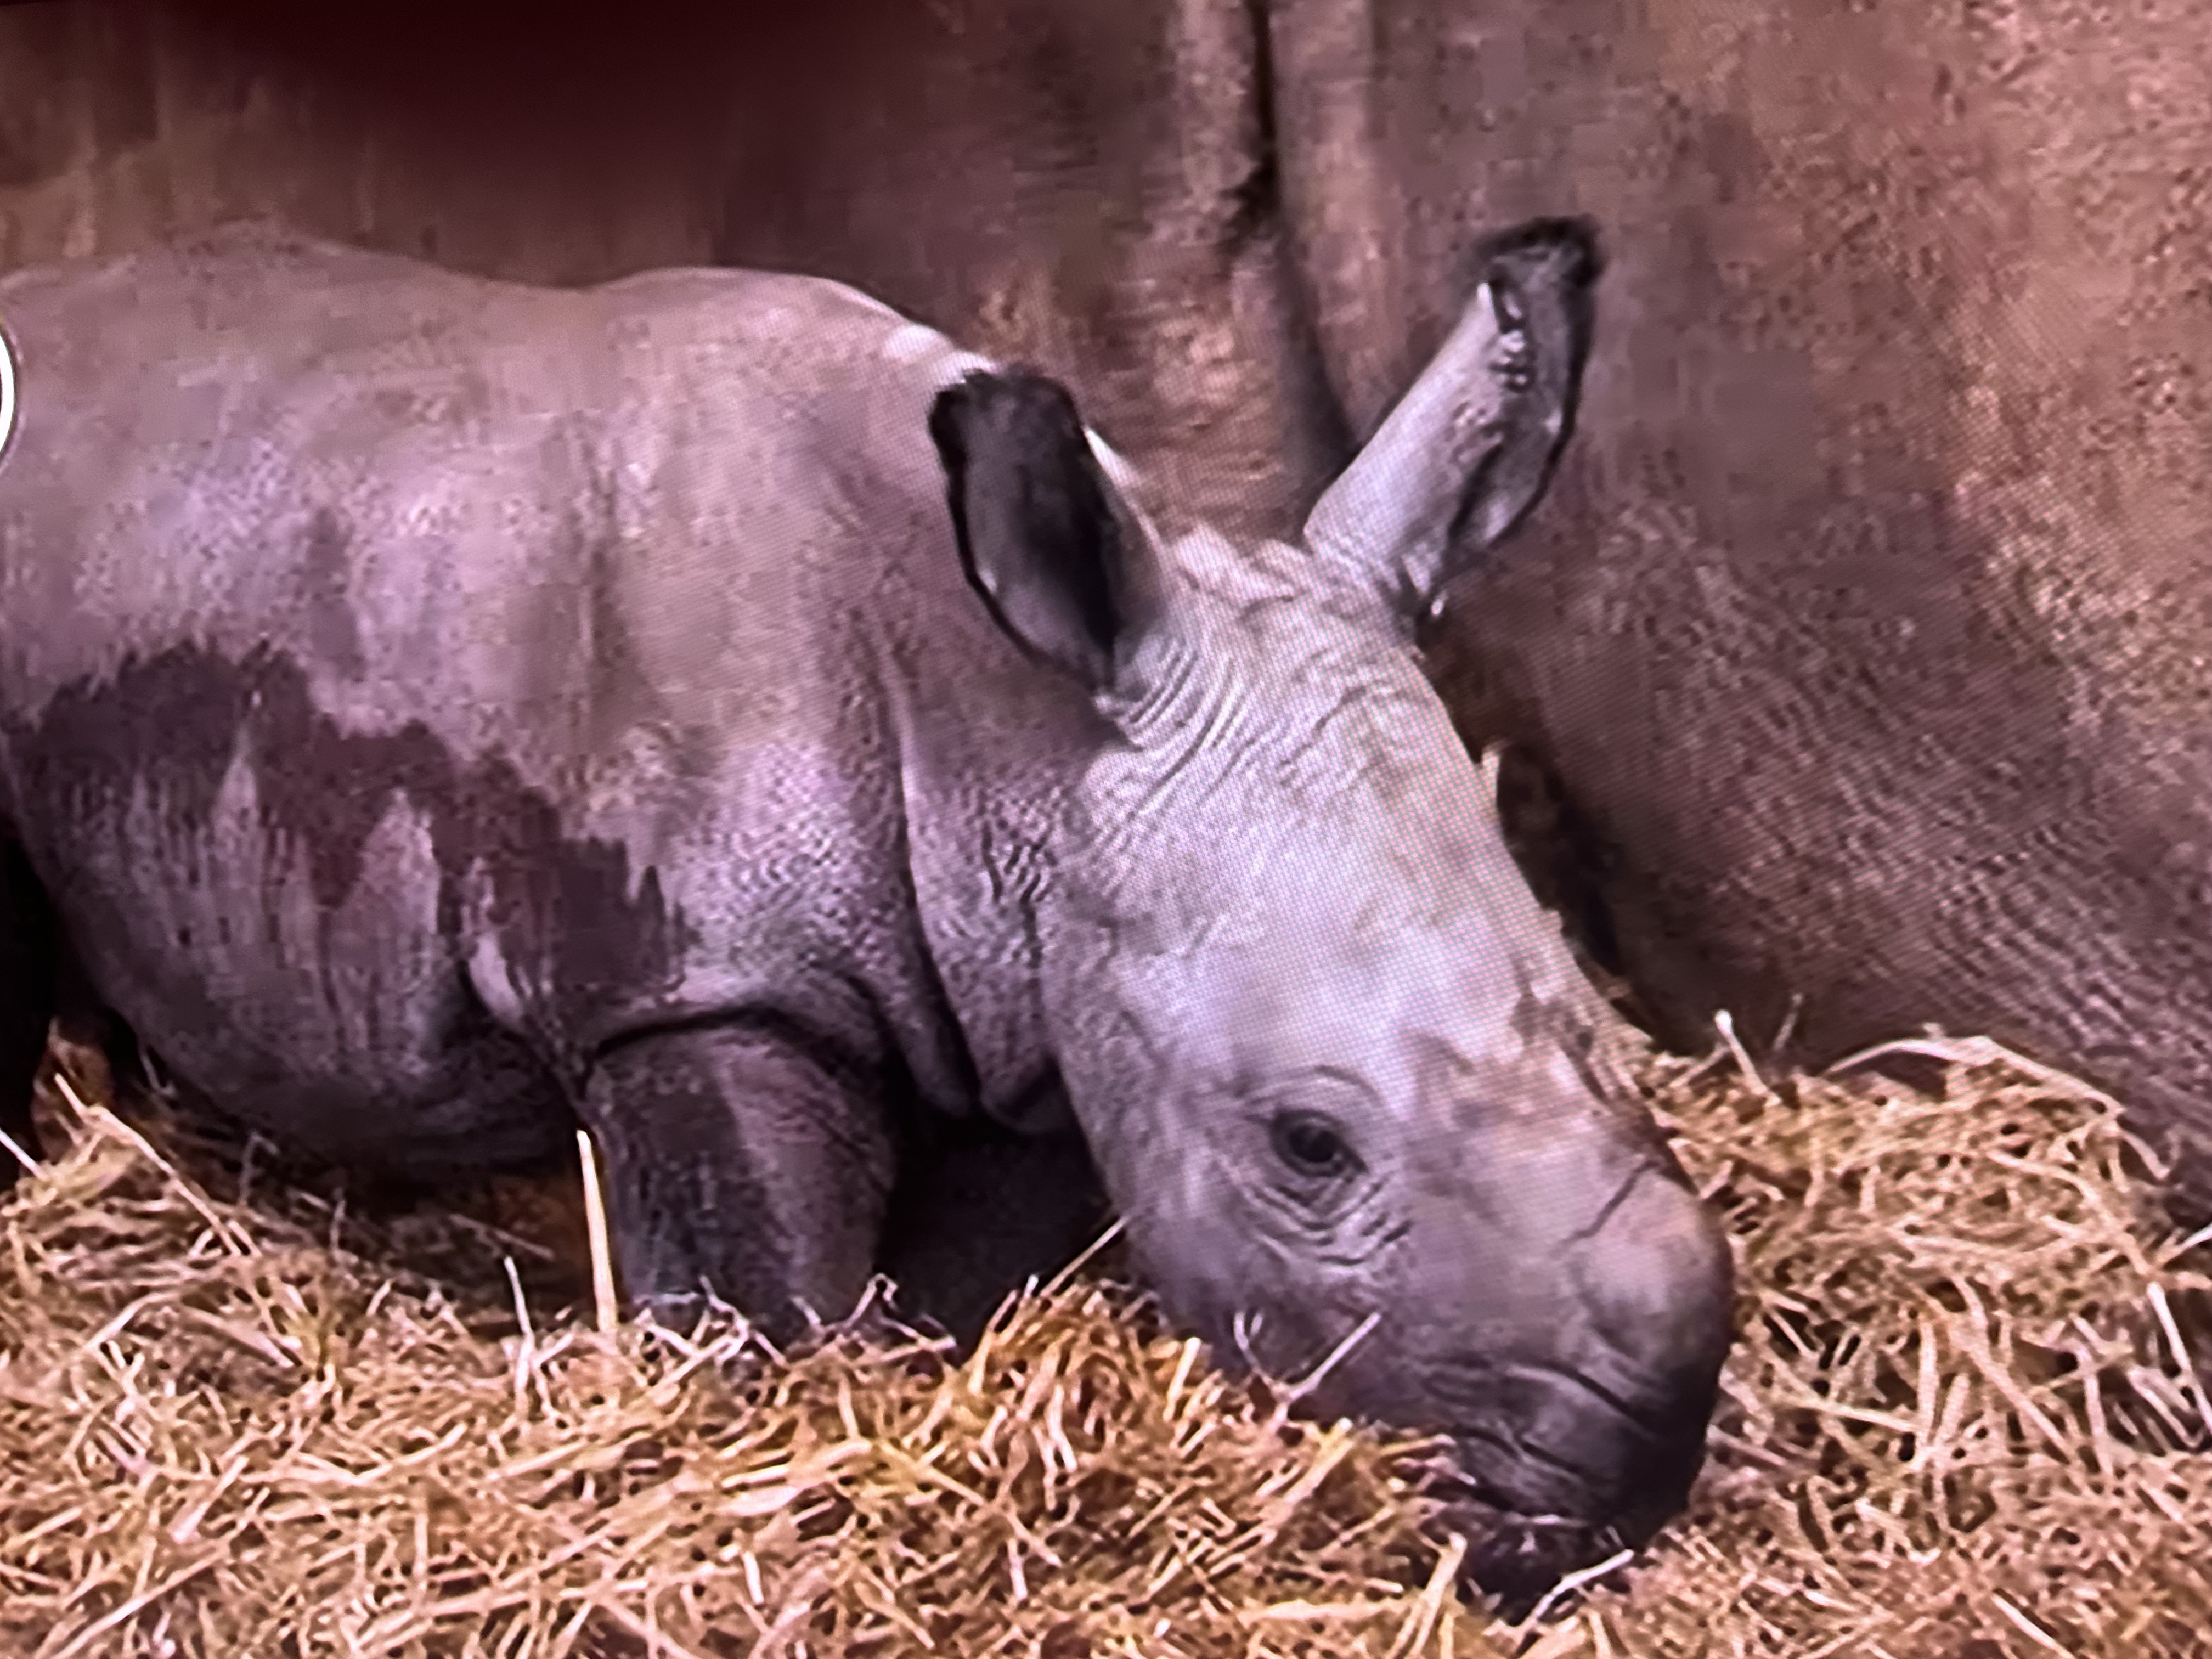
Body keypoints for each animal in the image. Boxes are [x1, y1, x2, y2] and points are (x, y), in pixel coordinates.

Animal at [0, 220, 1732, 1599]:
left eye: (1599, 1021)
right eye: (1311, 1146)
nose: (1637, 1465)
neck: (1013, 733)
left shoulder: (1035, 1003)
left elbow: (972, 1271)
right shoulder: (701, 984)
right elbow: (774, 1280)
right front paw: (783, 1404)